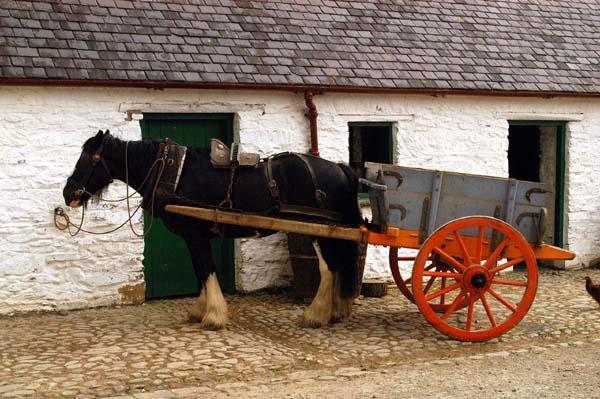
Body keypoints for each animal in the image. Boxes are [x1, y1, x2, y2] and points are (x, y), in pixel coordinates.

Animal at [62, 130, 360, 330]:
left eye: (88, 159)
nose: (68, 193)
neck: (173, 172)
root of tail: (339, 168)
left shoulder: (196, 234)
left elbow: (206, 270)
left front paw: (213, 316)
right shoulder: (194, 237)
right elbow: (200, 271)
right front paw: (199, 311)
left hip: (319, 229)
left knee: (329, 268)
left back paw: (316, 315)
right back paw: (335, 312)